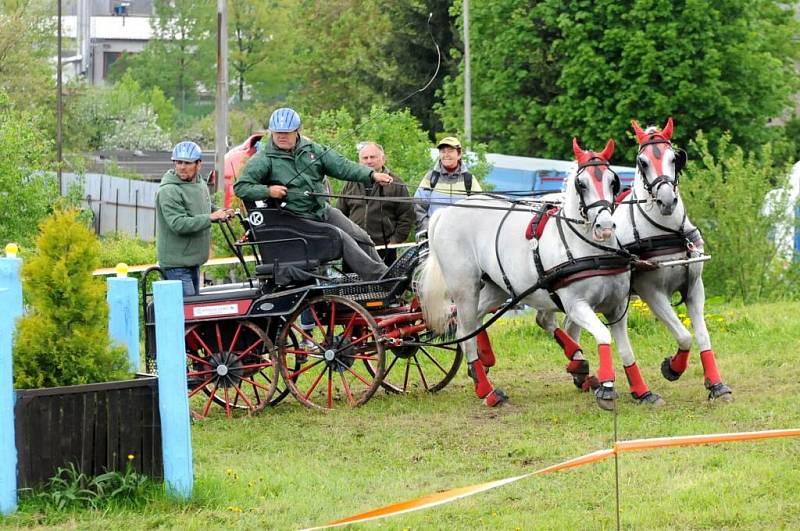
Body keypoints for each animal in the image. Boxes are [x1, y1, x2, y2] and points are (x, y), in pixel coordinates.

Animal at [418, 139, 636, 410]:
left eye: (612, 181)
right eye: (582, 184)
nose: (605, 227)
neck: (590, 250)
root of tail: (445, 212)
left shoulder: (617, 305)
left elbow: (625, 348)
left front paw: (640, 390)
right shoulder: (576, 305)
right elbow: (603, 335)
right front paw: (606, 387)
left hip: (498, 287)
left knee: (476, 321)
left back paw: (487, 361)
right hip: (465, 288)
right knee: (464, 331)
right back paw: (487, 391)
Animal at [552, 119, 732, 404]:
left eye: (674, 158)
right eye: (642, 162)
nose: (667, 200)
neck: (668, 232)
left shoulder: (695, 288)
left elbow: (703, 335)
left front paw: (716, 384)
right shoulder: (651, 291)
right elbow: (684, 335)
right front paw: (672, 368)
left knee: (572, 324)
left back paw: (580, 370)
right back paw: (577, 364)